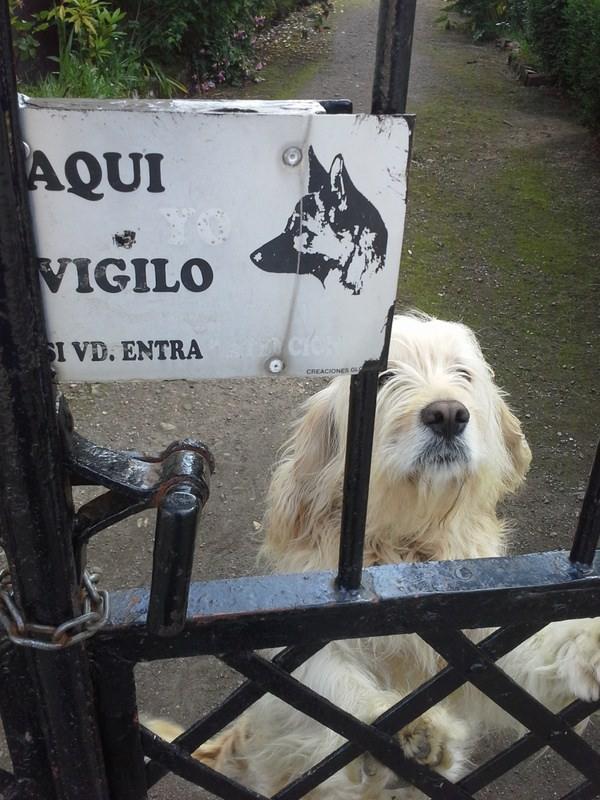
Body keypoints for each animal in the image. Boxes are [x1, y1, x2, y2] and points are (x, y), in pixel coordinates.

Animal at [169, 316, 600, 796]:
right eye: (386, 377)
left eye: (463, 373)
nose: (448, 414)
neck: (406, 542)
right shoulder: (307, 640)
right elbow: (331, 681)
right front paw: (403, 727)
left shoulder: (478, 639)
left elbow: (530, 652)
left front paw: (589, 645)